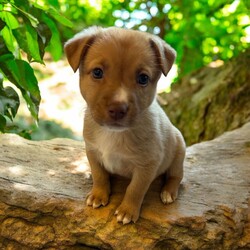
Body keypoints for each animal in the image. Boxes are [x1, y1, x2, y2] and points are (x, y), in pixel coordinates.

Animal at [64, 26, 186, 225]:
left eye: (143, 78)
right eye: (97, 72)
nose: (118, 109)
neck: (113, 134)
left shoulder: (147, 165)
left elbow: (135, 189)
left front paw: (127, 210)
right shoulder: (92, 150)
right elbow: (99, 175)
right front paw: (98, 195)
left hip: (179, 151)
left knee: (176, 175)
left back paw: (168, 192)